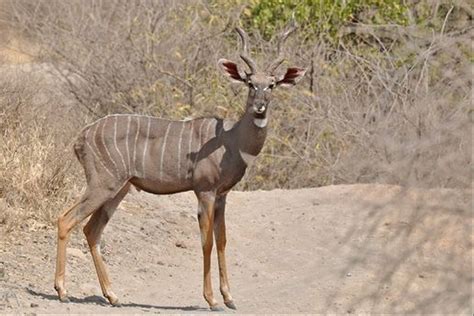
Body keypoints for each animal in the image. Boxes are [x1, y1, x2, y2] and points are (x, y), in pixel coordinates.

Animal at [53, 22, 306, 312]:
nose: (260, 107)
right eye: (250, 83)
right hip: (102, 184)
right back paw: (62, 291)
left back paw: (112, 295)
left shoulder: (222, 195)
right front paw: (212, 300)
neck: (231, 141)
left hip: (119, 189)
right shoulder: (205, 191)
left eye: (272, 85)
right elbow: (207, 242)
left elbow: (222, 240)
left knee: (91, 230)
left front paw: (229, 298)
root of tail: (80, 138)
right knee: (66, 220)